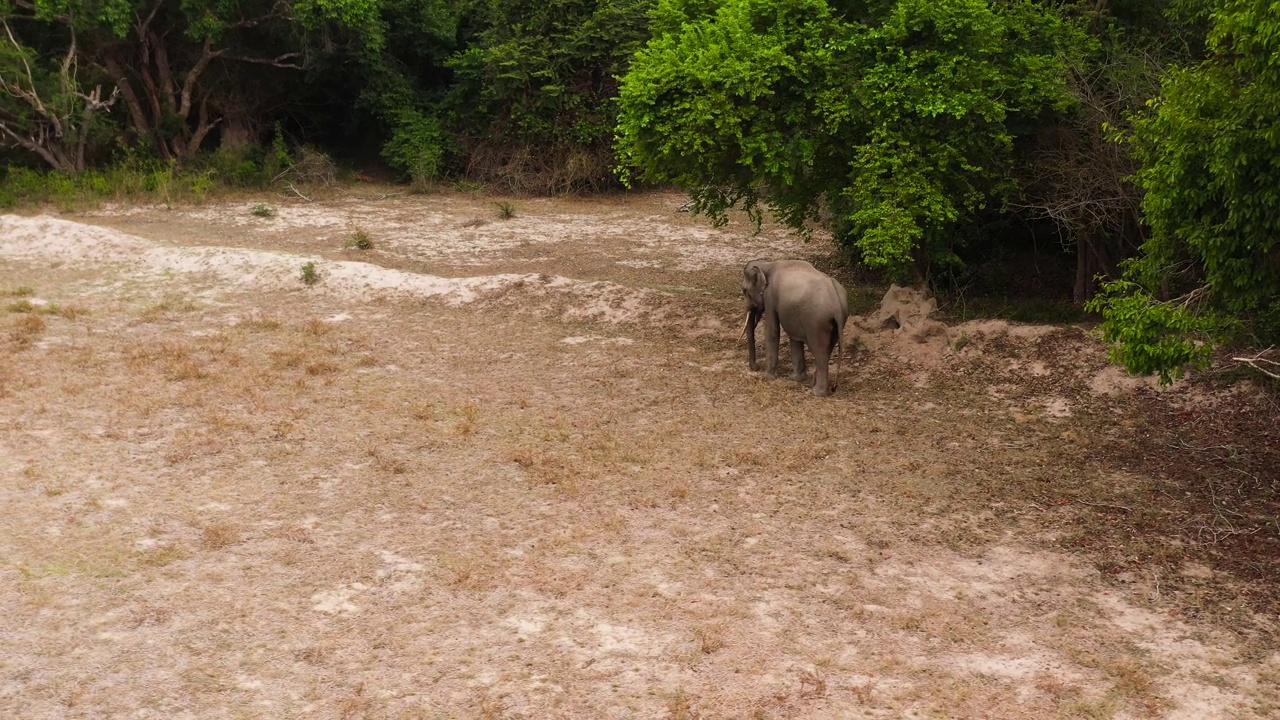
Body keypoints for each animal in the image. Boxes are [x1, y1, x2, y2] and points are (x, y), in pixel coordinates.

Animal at [742, 257, 849, 394]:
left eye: (745, 291)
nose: (756, 367)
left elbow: (772, 330)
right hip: (835, 323)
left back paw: (817, 393)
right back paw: (815, 385)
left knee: (820, 352)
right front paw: (796, 379)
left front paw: (768, 377)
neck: (767, 263)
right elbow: (794, 337)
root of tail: (837, 303)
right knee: (828, 348)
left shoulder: (770, 297)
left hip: (816, 323)